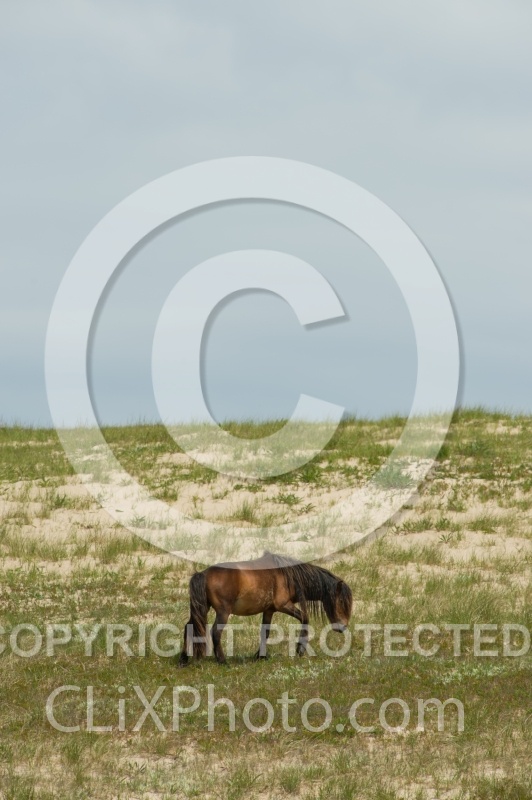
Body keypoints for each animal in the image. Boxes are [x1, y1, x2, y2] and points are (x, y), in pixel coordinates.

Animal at [179, 551, 353, 665]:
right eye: (341, 602)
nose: (343, 626)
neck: (288, 575)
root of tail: (203, 574)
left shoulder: (269, 610)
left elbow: (265, 632)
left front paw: (260, 656)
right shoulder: (283, 605)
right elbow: (305, 618)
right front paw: (300, 649)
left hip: (202, 609)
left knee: (188, 627)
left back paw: (184, 659)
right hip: (223, 612)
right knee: (215, 632)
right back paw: (222, 661)